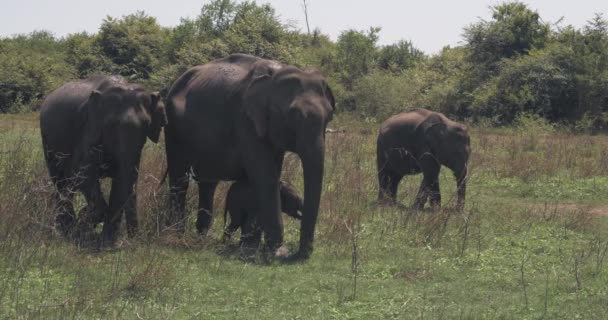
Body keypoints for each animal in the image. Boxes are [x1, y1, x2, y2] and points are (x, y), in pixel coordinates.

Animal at [39, 76, 167, 244]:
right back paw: (66, 229)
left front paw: (106, 241)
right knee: (61, 180)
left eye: (146, 125)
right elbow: (83, 172)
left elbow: (124, 180)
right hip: (48, 141)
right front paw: (84, 222)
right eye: (111, 125)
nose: (134, 238)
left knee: (68, 185)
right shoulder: (88, 128)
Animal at [164, 53, 334, 260]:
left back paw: (202, 237)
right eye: (293, 115)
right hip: (173, 126)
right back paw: (177, 236)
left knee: (207, 183)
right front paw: (275, 250)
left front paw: (253, 246)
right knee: (179, 178)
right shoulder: (246, 120)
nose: (301, 254)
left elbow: (270, 173)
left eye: (329, 117)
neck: (274, 77)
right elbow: (265, 175)